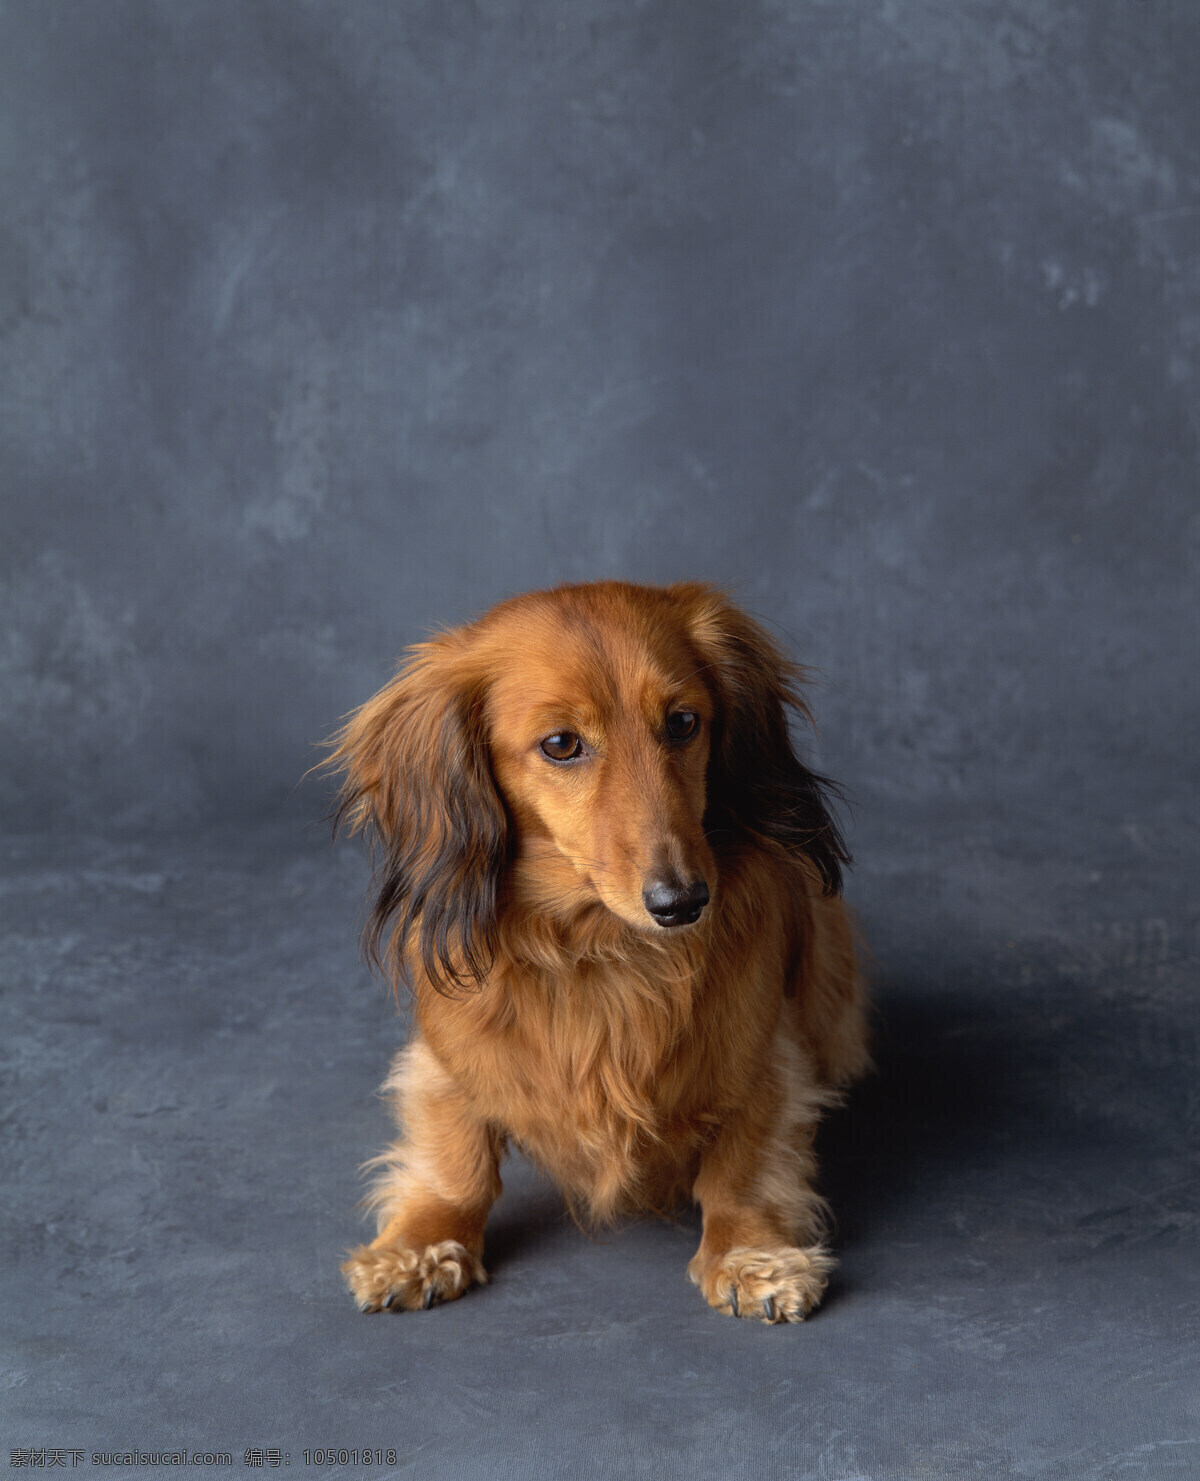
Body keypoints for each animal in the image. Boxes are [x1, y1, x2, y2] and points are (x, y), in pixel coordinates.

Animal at [330, 577, 871, 1321]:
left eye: (683, 722)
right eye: (562, 743)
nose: (682, 902)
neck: (600, 948)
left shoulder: (767, 1056)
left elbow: (744, 1166)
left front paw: (750, 1253)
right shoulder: (445, 1059)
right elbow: (455, 1158)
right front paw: (421, 1244)